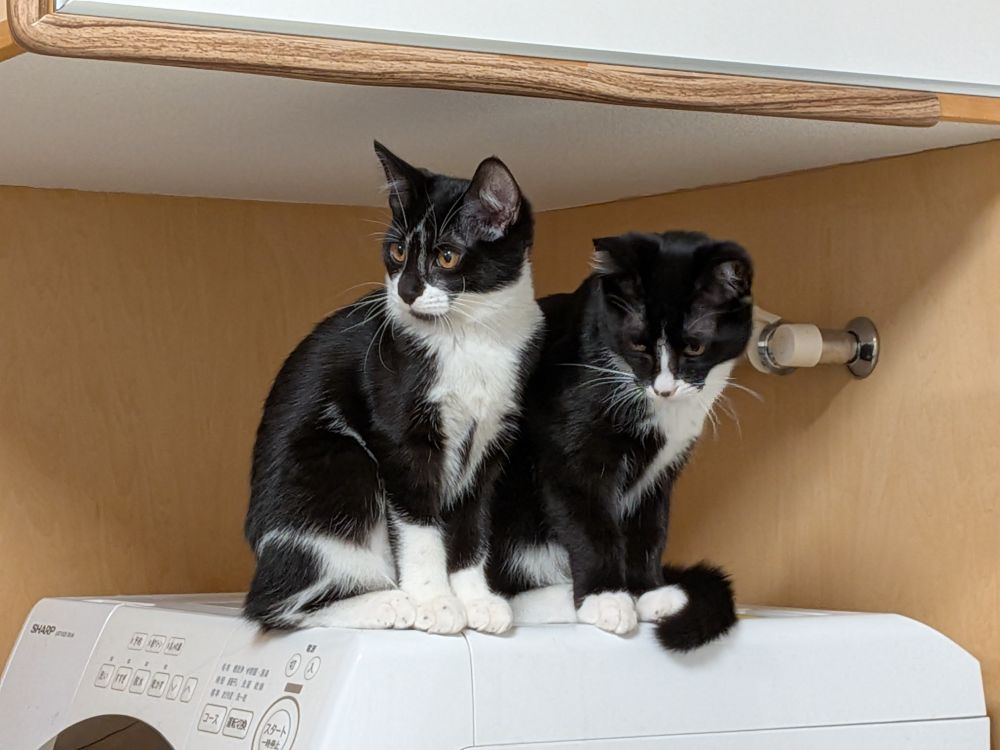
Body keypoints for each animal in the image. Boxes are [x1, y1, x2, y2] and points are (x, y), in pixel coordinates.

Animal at [244, 142, 543, 635]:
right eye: (398, 250)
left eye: (446, 256)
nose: (405, 290)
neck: (469, 338)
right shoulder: (400, 437)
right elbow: (420, 527)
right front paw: (435, 601)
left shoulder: (492, 442)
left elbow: (473, 523)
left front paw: (476, 598)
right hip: (344, 463)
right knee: (271, 605)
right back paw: (386, 603)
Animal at [487, 230, 751, 651]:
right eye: (638, 344)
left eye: (695, 347)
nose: (664, 388)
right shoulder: (570, 453)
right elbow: (589, 521)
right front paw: (606, 597)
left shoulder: (663, 468)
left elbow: (650, 525)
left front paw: (649, 592)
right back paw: (559, 598)